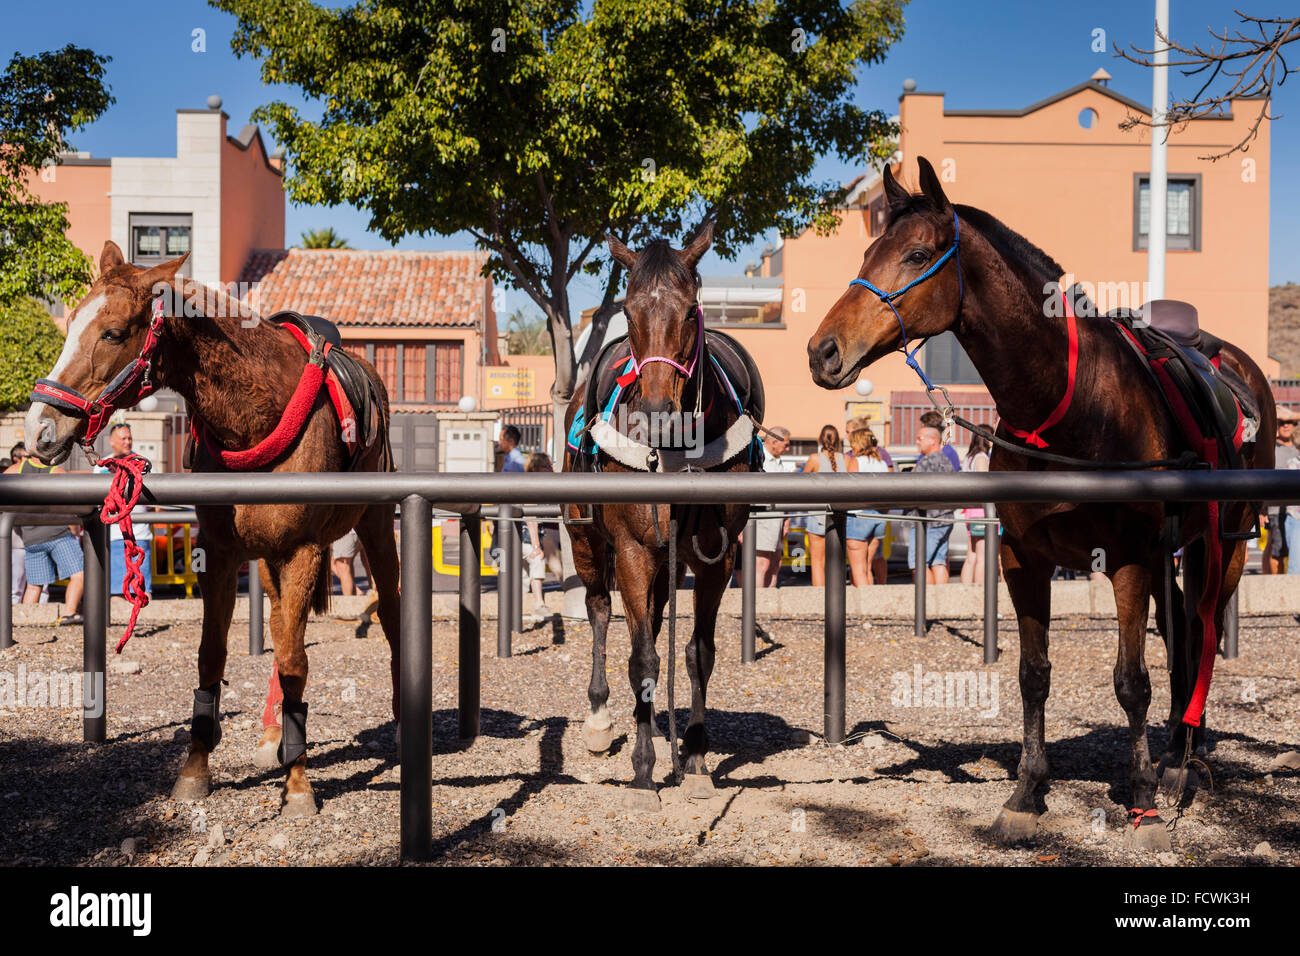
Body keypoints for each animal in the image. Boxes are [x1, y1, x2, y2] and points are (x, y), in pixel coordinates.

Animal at [25, 241, 402, 817]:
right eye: (68, 325)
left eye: (113, 332)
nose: (39, 429)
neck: (256, 414)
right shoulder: (221, 551)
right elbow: (213, 655)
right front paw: (196, 768)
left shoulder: (303, 550)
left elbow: (294, 660)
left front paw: (298, 784)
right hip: (267, 561)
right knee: (280, 626)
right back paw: (275, 733)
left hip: (376, 529)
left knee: (390, 618)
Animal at [563, 224, 764, 809]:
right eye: (628, 311)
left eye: (690, 308)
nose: (654, 414)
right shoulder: (631, 548)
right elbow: (644, 659)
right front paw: (645, 770)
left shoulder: (716, 555)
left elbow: (697, 653)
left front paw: (693, 761)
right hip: (586, 540)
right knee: (602, 611)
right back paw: (602, 719)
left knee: (650, 620)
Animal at [807, 157, 1275, 847]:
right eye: (868, 252)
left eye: (916, 254)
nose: (823, 350)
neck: (1072, 402)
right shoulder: (1025, 559)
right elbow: (1034, 674)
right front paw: (1028, 791)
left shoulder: (1128, 559)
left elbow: (1131, 682)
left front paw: (1141, 800)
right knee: (1185, 632)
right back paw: (1175, 751)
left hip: (1227, 545)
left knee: (1204, 629)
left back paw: (1179, 763)